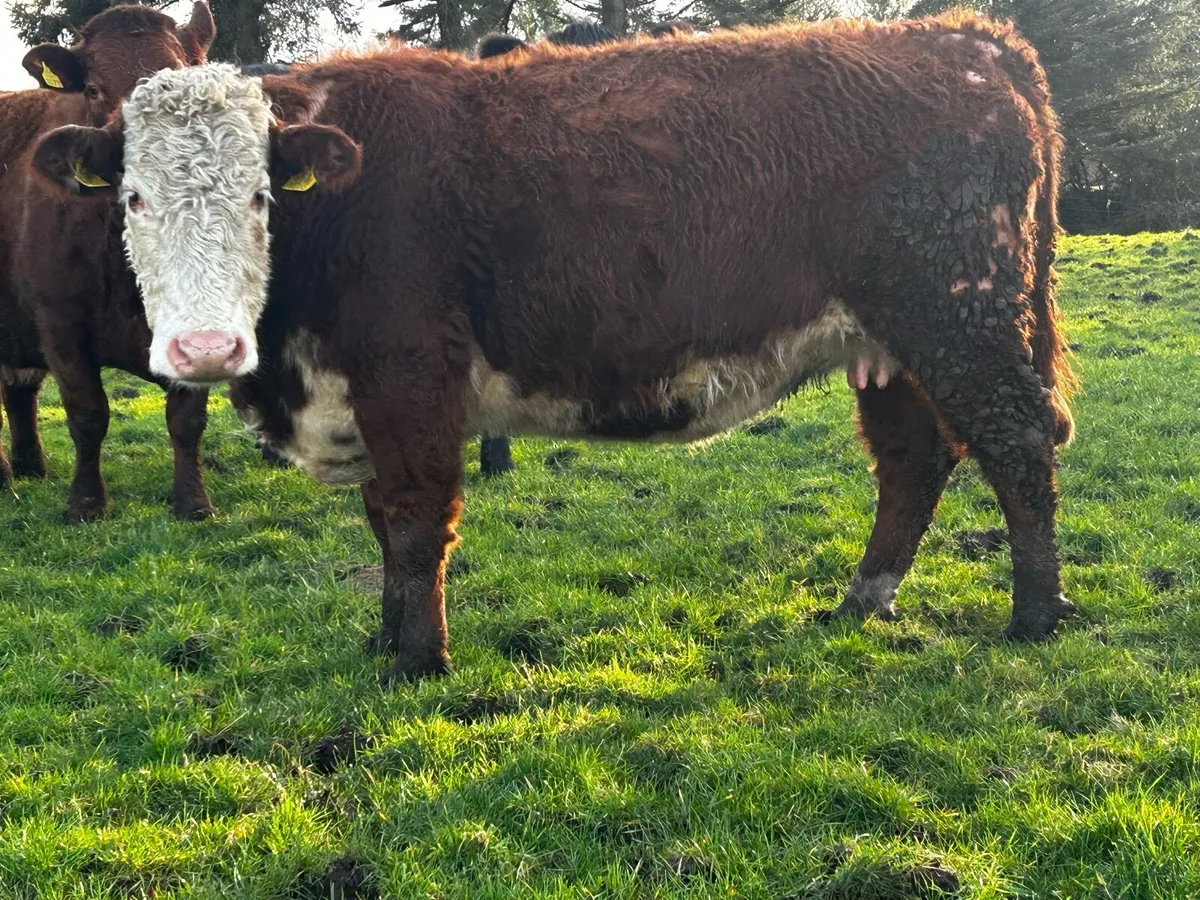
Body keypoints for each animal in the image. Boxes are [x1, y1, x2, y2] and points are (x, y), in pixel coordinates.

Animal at [0, 2, 216, 522]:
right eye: (94, 89)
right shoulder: (59, 323)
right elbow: (88, 413)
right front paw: (86, 503)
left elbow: (187, 418)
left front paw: (192, 501)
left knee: (19, 387)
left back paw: (30, 465)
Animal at [38, 14, 1078, 682]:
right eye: (132, 196)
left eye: (260, 195)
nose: (204, 348)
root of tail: (965, 38)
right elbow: (381, 517)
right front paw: (386, 642)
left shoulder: (410, 375)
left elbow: (414, 518)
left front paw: (416, 662)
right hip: (890, 343)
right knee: (914, 457)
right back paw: (863, 600)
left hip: (959, 315)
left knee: (1017, 443)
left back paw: (1035, 619)